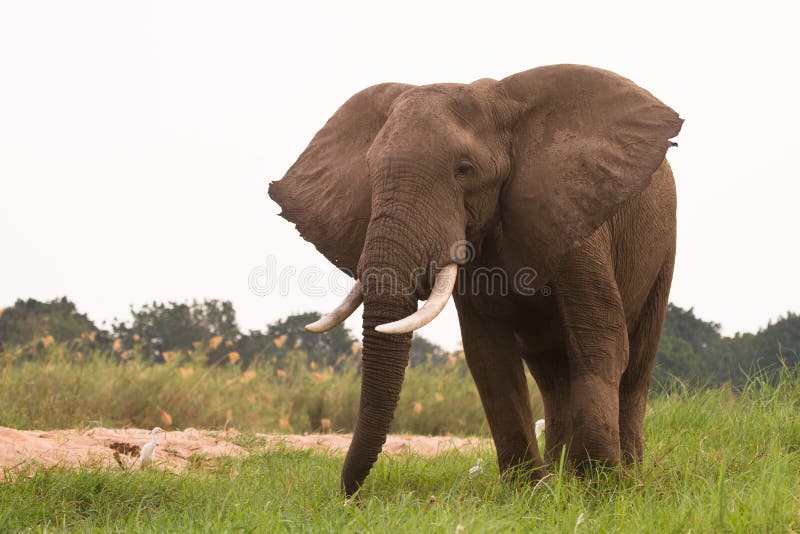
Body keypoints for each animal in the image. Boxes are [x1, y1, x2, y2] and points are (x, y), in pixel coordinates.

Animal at [268, 64, 682, 496]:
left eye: (464, 170)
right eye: (371, 171)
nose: (353, 498)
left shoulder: (578, 217)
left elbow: (599, 338)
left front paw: (596, 488)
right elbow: (488, 354)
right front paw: (532, 492)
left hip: (664, 245)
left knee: (636, 362)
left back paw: (625, 476)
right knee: (552, 375)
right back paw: (559, 474)